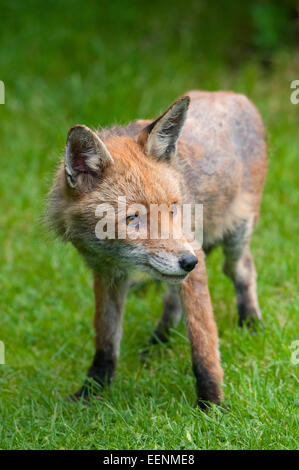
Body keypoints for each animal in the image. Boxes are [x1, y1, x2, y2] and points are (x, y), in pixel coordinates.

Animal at [48, 91, 268, 408]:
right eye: (132, 218)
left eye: (173, 209)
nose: (189, 262)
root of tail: (234, 96)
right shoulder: (106, 273)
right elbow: (106, 339)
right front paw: (92, 391)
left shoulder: (193, 250)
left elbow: (203, 339)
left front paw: (211, 403)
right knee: (172, 296)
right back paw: (159, 340)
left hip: (235, 235)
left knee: (242, 270)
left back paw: (250, 322)